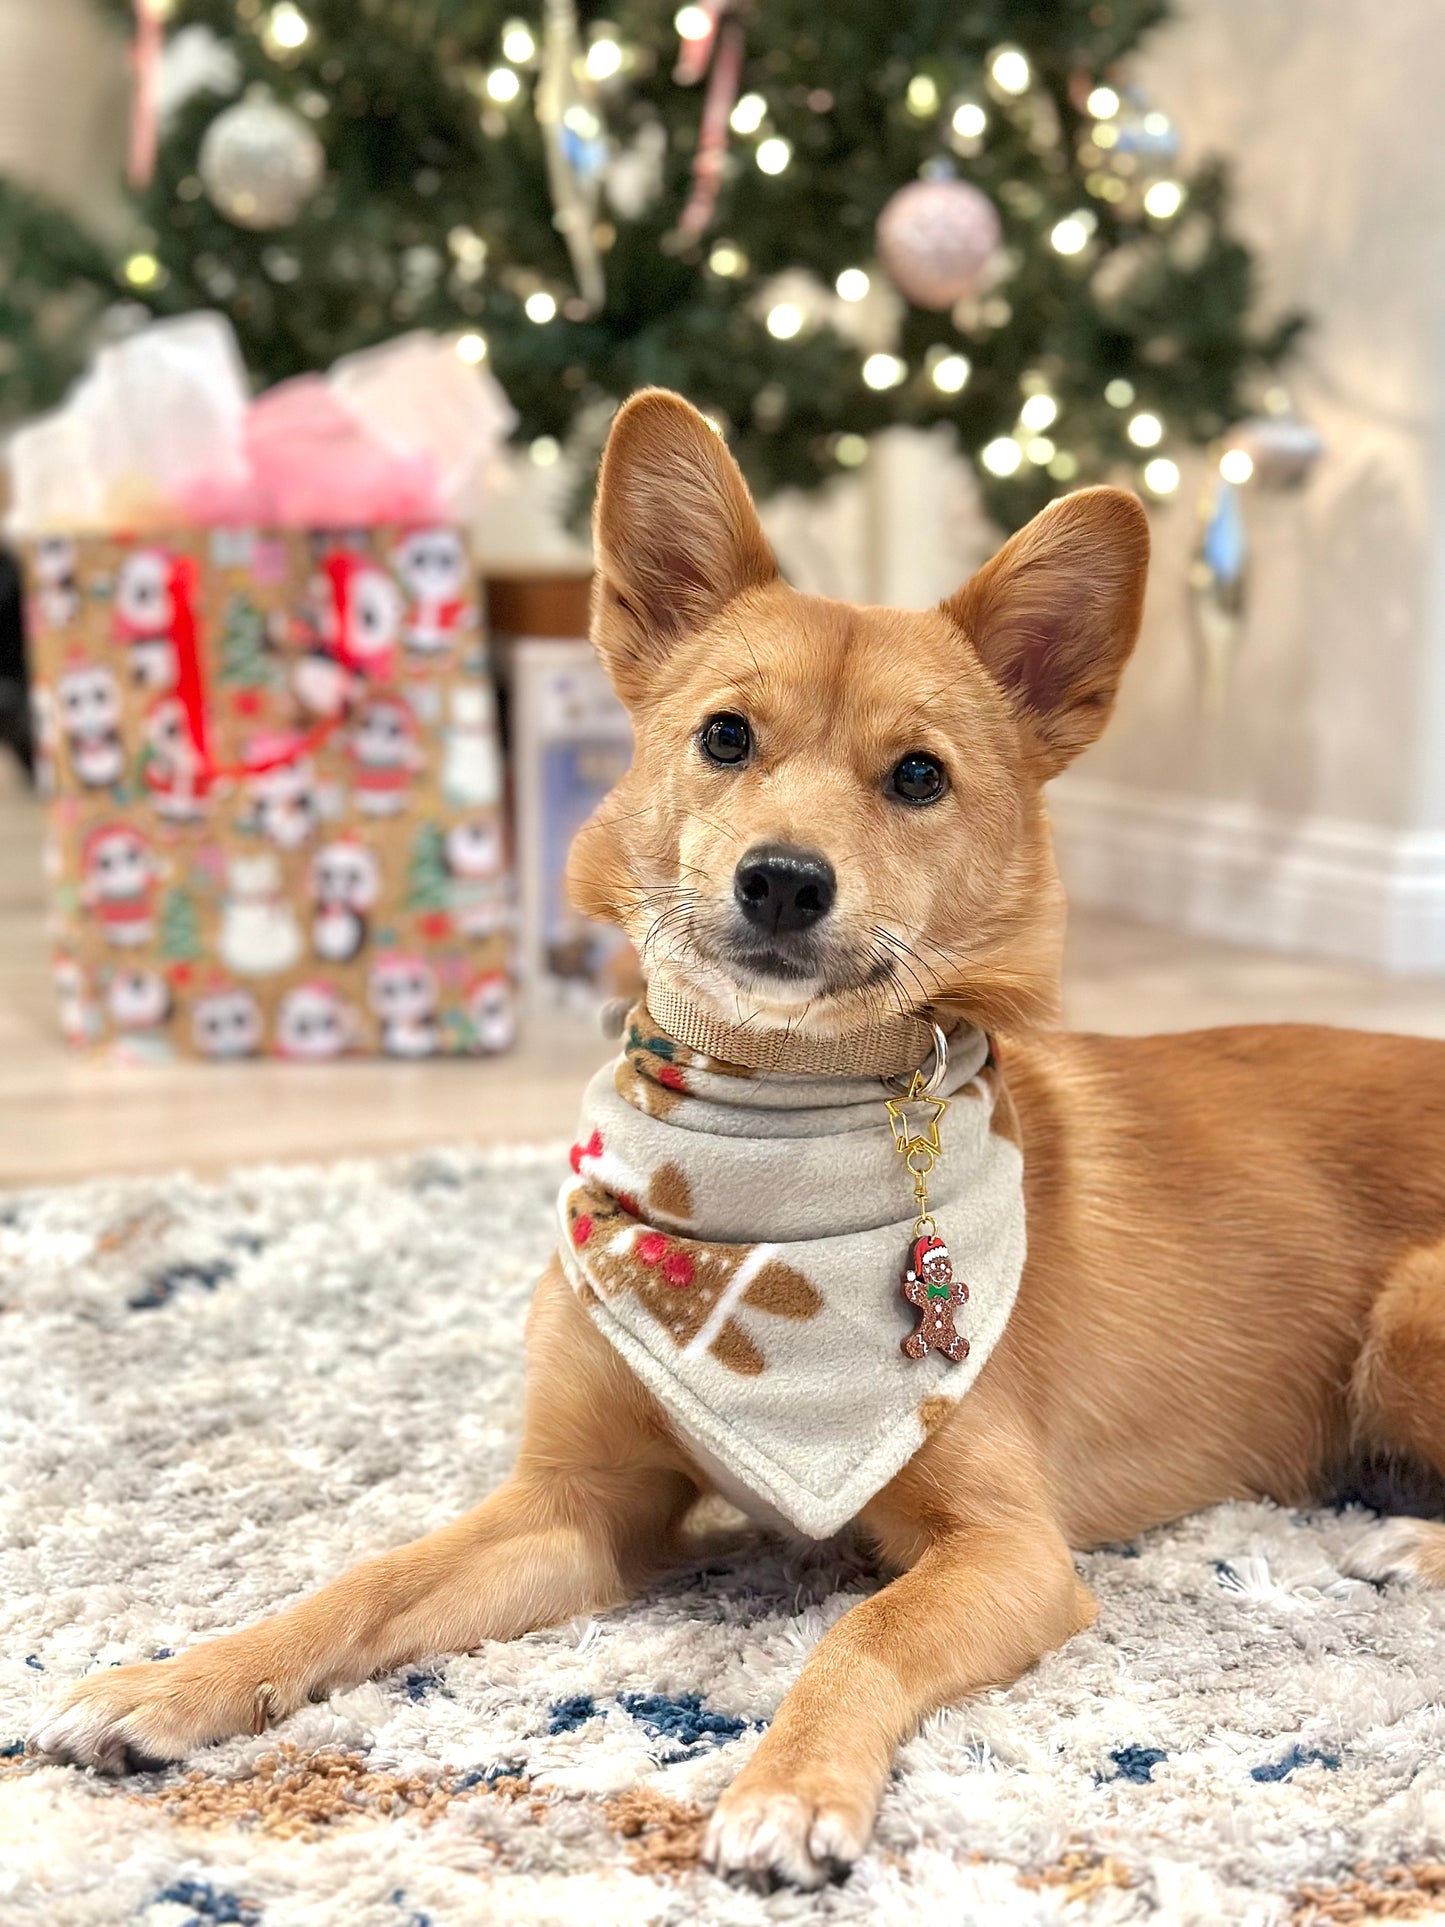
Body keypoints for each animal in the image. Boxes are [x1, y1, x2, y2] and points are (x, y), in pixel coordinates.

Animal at [28, 383, 1445, 1888]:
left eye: (918, 776)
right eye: (723, 737)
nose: (781, 881)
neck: (766, 1136)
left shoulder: (1011, 1551)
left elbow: (862, 1629)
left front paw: (790, 1781)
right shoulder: (574, 1510)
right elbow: (365, 1578)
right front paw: (178, 1676)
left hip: (1409, 1308)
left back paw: (1404, 1547)